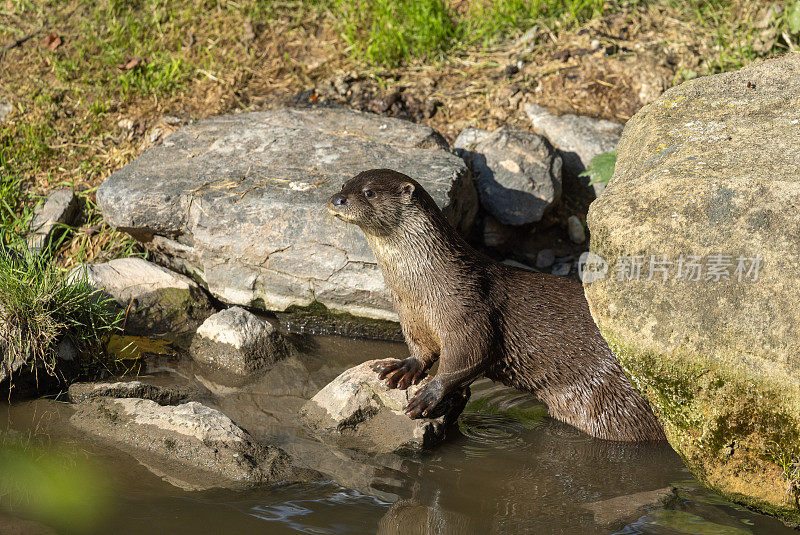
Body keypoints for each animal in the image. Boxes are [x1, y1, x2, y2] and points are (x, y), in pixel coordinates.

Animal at [324, 170, 664, 442]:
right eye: (344, 184)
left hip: (616, 407)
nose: (337, 199)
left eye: (369, 192)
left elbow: (470, 355)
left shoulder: (467, 306)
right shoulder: (411, 317)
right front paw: (403, 367)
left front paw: (429, 396)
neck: (422, 286)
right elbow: (423, 350)